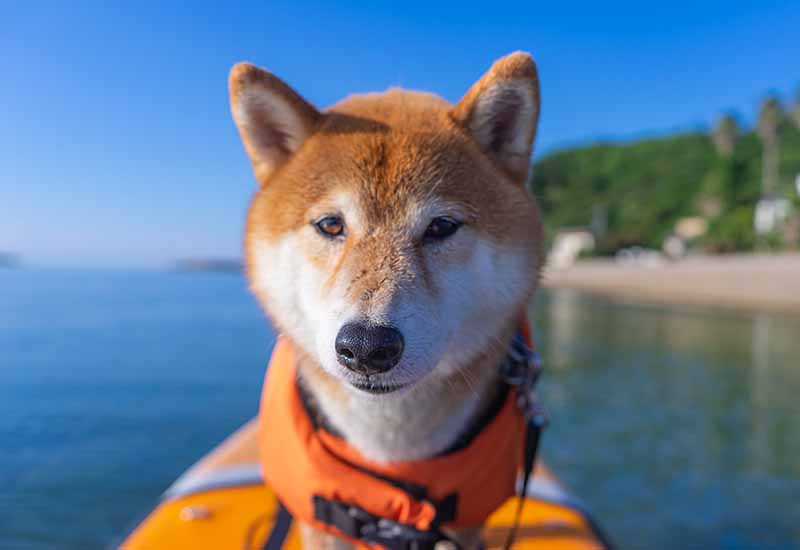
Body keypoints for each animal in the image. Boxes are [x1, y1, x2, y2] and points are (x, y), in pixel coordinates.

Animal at [230, 49, 544, 548]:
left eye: (442, 226)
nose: (366, 347)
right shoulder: (323, 521)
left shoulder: (464, 523)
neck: (392, 453)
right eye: (331, 224)